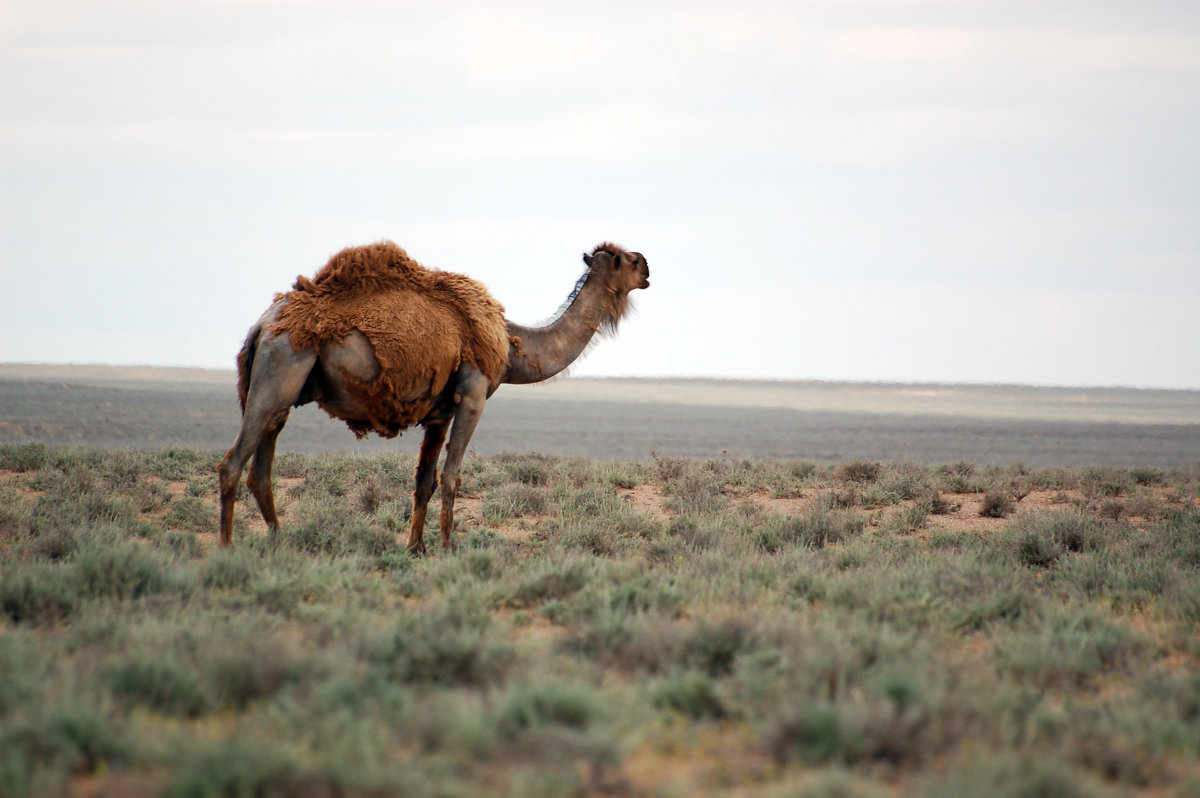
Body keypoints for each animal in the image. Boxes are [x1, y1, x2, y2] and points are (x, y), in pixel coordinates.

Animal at [216, 242, 648, 552]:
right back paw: (227, 549)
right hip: (278, 371)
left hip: (281, 390)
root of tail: (261, 326)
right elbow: (452, 475)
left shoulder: (439, 411)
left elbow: (424, 479)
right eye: (625, 259)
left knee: (261, 467)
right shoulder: (473, 395)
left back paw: (279, 542)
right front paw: (448, 547)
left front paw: (416, 547)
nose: (647, 266)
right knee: (232, 463)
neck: (511, 347)